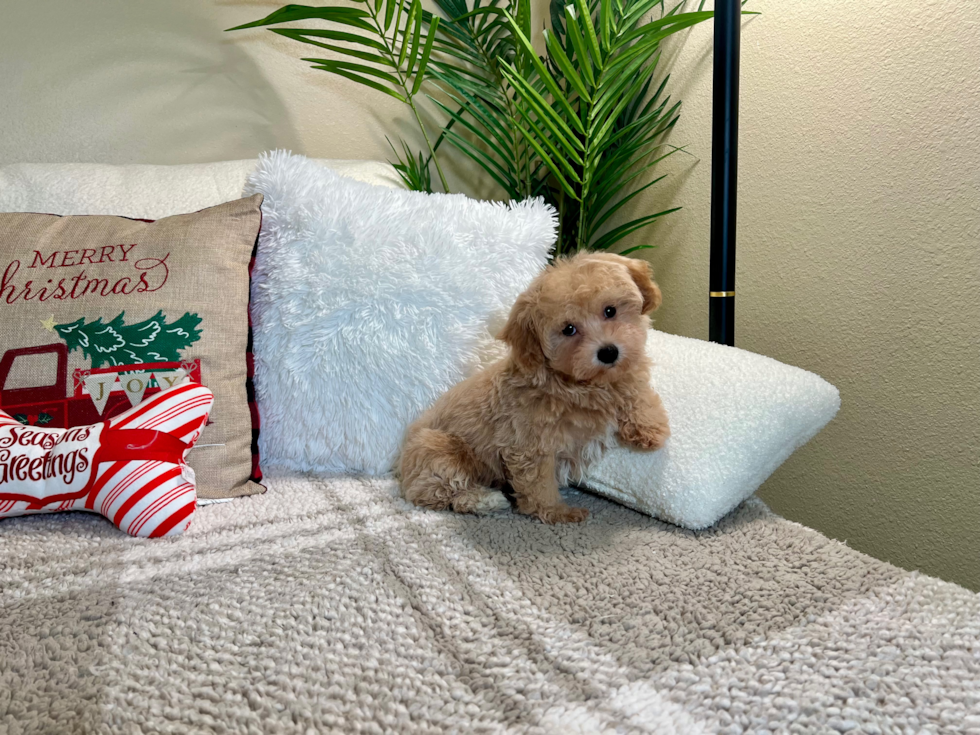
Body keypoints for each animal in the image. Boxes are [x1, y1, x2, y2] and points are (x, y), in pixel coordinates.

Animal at [396, 252, 668, 524]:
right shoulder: (530, 445)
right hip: (439, 451)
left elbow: (634, 387)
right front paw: (557, 512)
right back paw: (485, 499)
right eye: (569, 329)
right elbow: (540, 484)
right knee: (439, 493)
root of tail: (400, 467)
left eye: (610, 311)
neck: (580, 384)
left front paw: (650, 428)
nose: (608, 352)